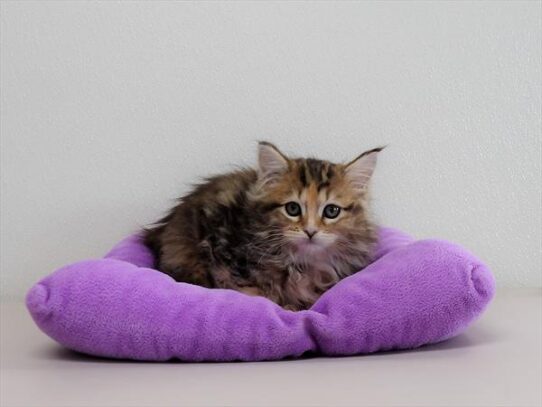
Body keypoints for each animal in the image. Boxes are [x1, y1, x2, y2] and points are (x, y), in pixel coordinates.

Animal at [143, 142, 382, 310]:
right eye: (293, 209)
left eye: (331, 211)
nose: (310, 231)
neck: (300, 263)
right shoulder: (231, 264)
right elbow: (261, 296)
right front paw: (288, 306)